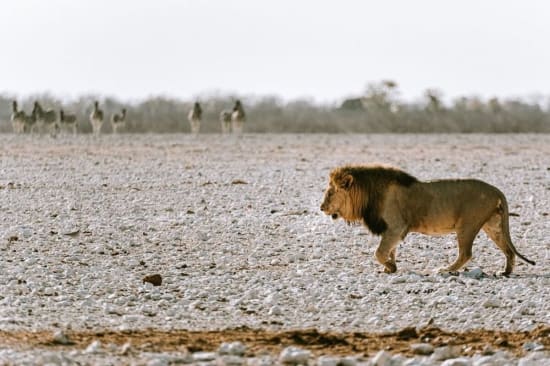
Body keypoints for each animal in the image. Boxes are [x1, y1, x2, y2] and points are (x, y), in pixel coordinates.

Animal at [322, 165, 536, 274]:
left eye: (331, 192)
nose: (321, 207)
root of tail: (496, 189)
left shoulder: (395, 227)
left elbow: (379, 252)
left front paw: (390, 267)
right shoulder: (392, 230)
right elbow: (390, 251)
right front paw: (390, 268)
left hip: (467, 226)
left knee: (466, 253)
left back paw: (446, 269)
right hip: (493, 226)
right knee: (508, 250)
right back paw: (505, 272)